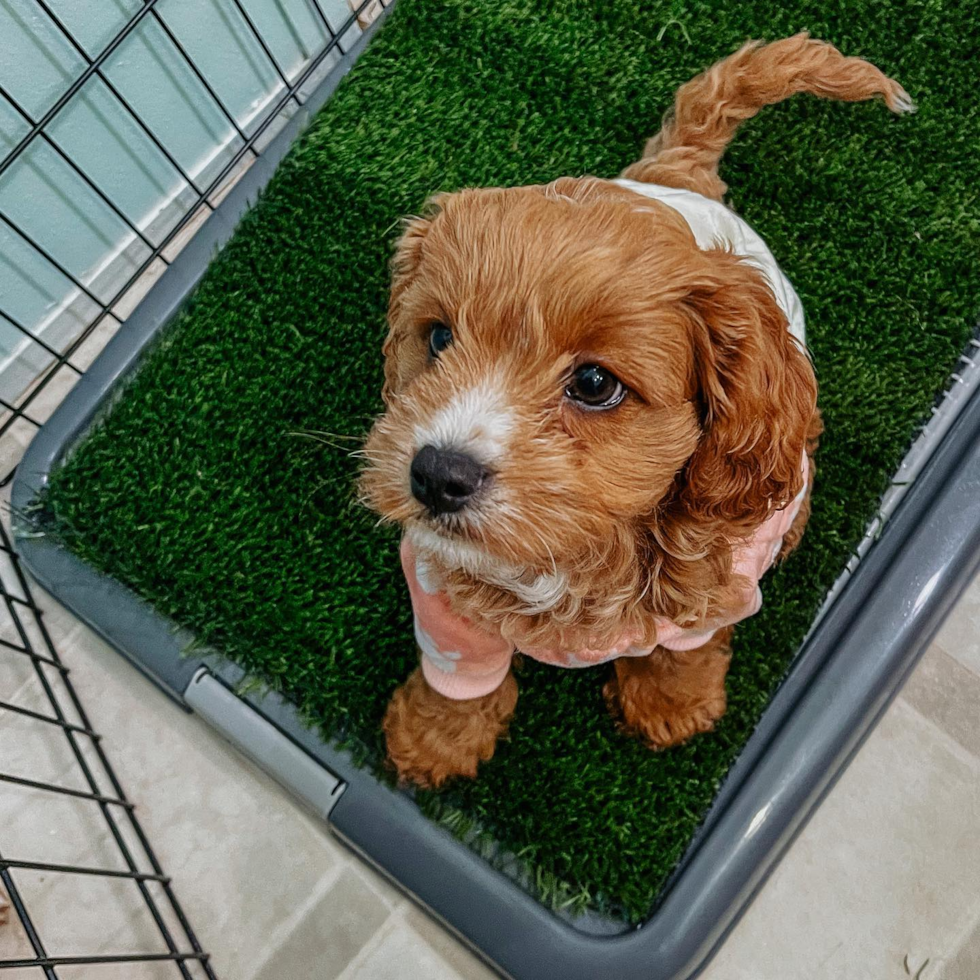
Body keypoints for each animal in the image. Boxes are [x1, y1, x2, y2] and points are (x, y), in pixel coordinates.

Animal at [360, 32, 912, 788]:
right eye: (438, 337)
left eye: (595, 383)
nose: (436, 474)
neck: (572, 554)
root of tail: (678, 176)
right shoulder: (441, 593)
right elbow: (459, 678)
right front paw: (434, 739)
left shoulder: (711, 592)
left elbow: (684, 650)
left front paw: (671, 705)